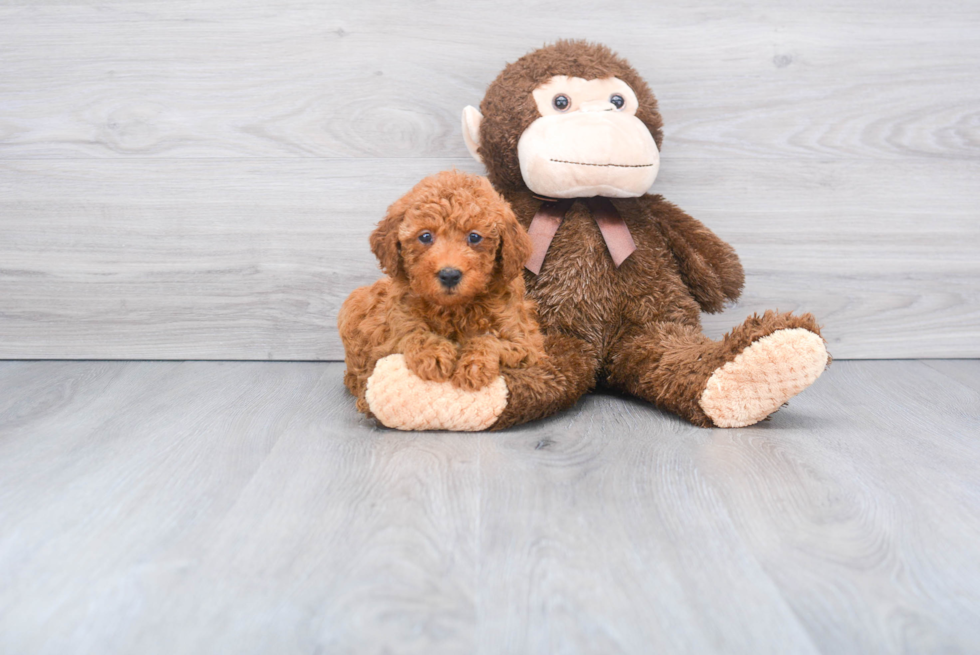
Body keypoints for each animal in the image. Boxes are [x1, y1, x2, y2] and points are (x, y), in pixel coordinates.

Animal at [334, 172, 540, 418]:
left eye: (474, 237)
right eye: (425, 236)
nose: (449, 274)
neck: (455, 308)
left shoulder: (526, 341)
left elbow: (490, 340)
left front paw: (473, 366)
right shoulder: (391, 332)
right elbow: (413, 333)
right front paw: (434, 355)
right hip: (354, 305)